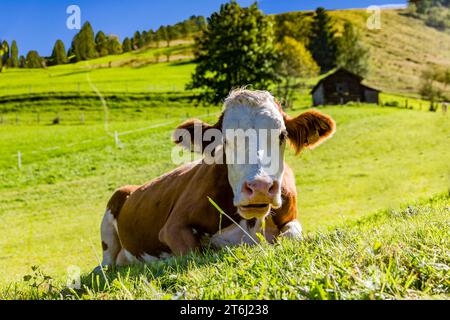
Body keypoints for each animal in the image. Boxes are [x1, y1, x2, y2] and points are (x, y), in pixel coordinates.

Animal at [99, 89, 338, 266]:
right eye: (225, 139)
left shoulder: (291, 217)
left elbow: (291, 235)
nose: (260, 187)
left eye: (282, 135)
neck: (251, 222)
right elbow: (194, 251)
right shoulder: (172, 227)